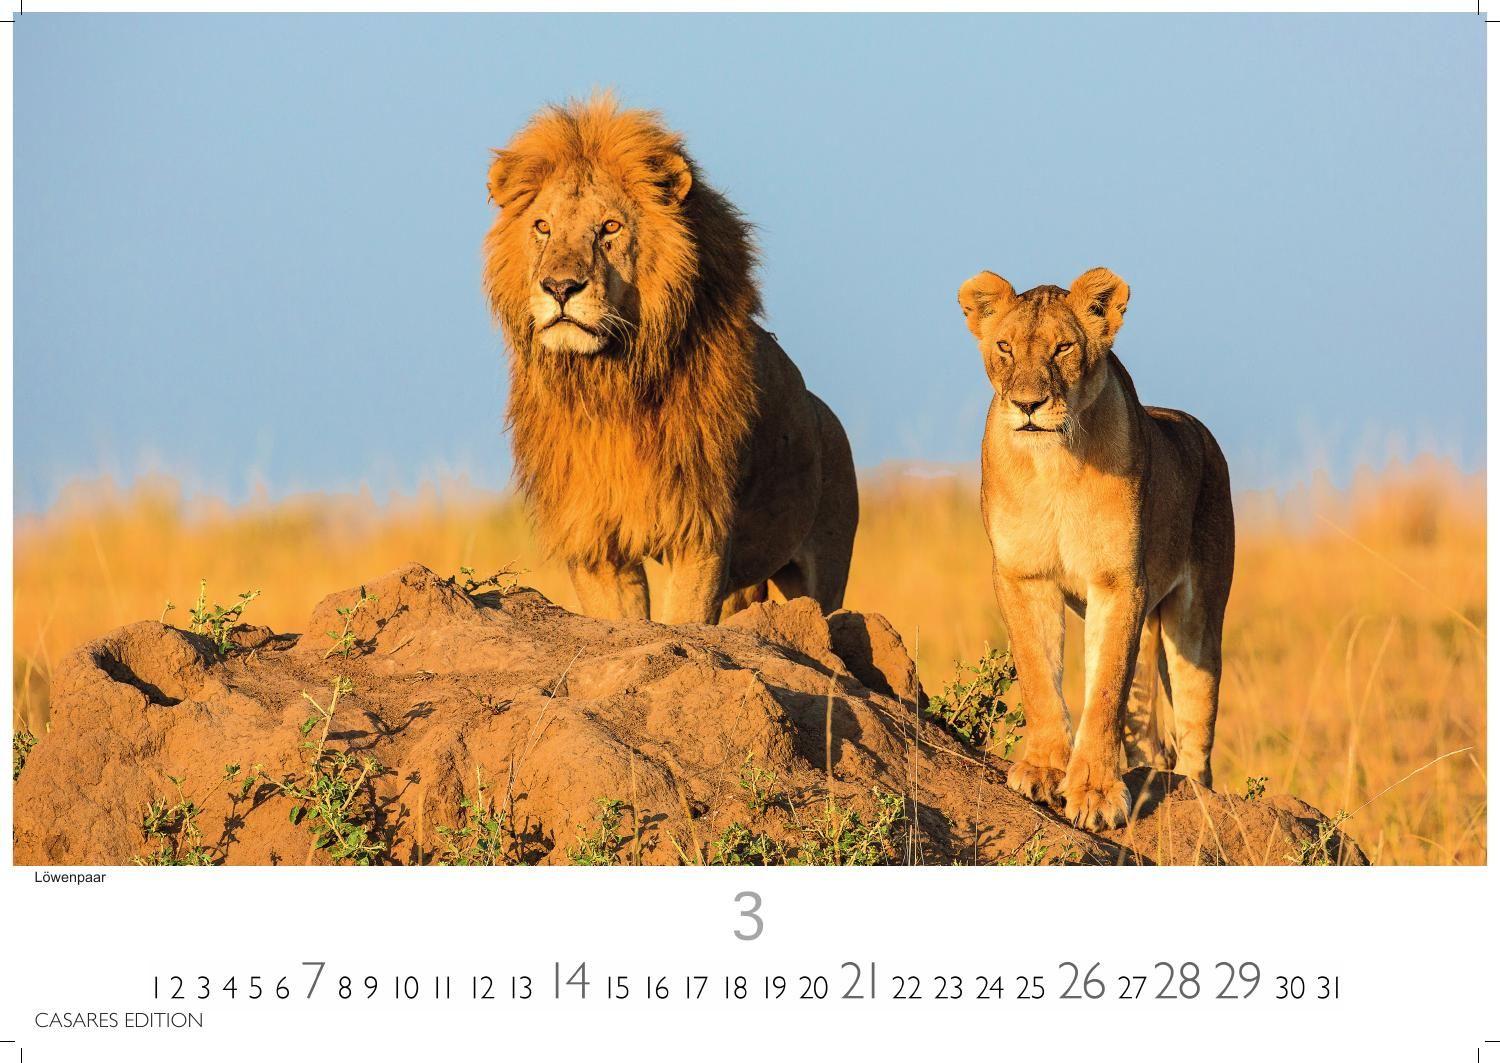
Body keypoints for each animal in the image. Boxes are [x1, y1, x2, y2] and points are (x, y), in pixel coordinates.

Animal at [483, 95, 858, 624]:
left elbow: (685, 618)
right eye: (542, 228)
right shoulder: (594, 536)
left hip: (824, 566)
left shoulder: (702, 529)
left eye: (610, 227)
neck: (611, 379)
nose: (559, 287)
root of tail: (825, 414)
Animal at [958, 267, 1235, 830]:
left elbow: (1104, 689)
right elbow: (1038, 675)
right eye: (1004, 346)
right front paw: (1043, 769)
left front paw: (1095, 793)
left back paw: (1199, 805)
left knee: (1196, 736)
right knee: (1153, 740)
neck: (1053, 464)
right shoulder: (1023, 574)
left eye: (1063, 347)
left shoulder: (1118, 581)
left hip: (1196, 622)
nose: (1028, 405)